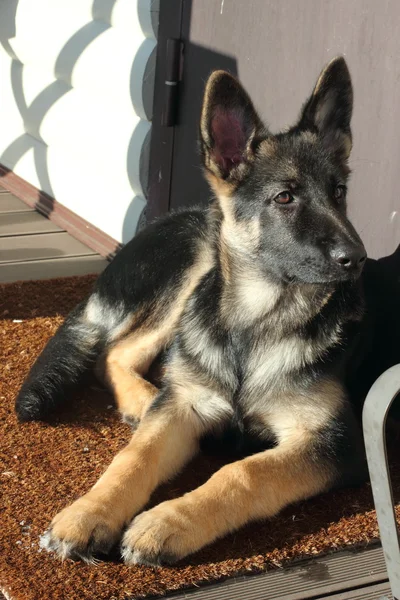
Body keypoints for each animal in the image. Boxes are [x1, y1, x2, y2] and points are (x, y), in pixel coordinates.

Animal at [14, 57, 394, 568]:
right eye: (285, 197)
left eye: (338, 192)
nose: (357, 259)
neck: (256, 324)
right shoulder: (185, 408)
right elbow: (133, 458)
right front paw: (88, 511)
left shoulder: (335, 442)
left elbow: (244, 471)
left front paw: (167, 521)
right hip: (196, 261)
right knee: (115, 354)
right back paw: (144, 400)